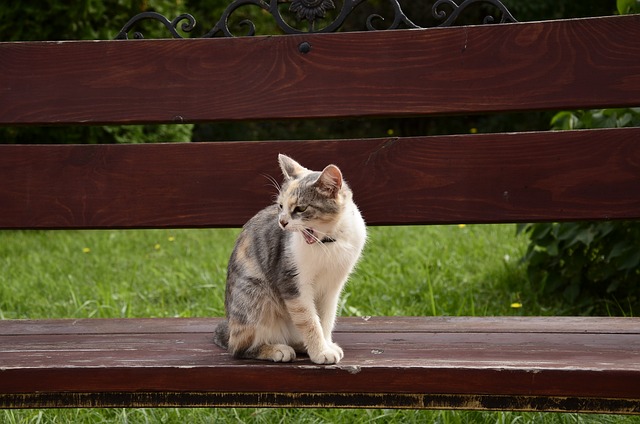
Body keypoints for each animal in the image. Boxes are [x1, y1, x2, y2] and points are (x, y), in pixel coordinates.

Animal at [214, 154, 368, 362]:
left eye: (300, 208)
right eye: (280, 206)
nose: (282, 221)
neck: (327, 243)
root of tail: (229, 328)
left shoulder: (333, 286)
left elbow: (326, 318)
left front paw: (326, 344)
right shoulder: (292, 282)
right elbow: (309, 320)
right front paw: (321, 352)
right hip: (254, 295)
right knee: (239, 349)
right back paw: (276, 349)